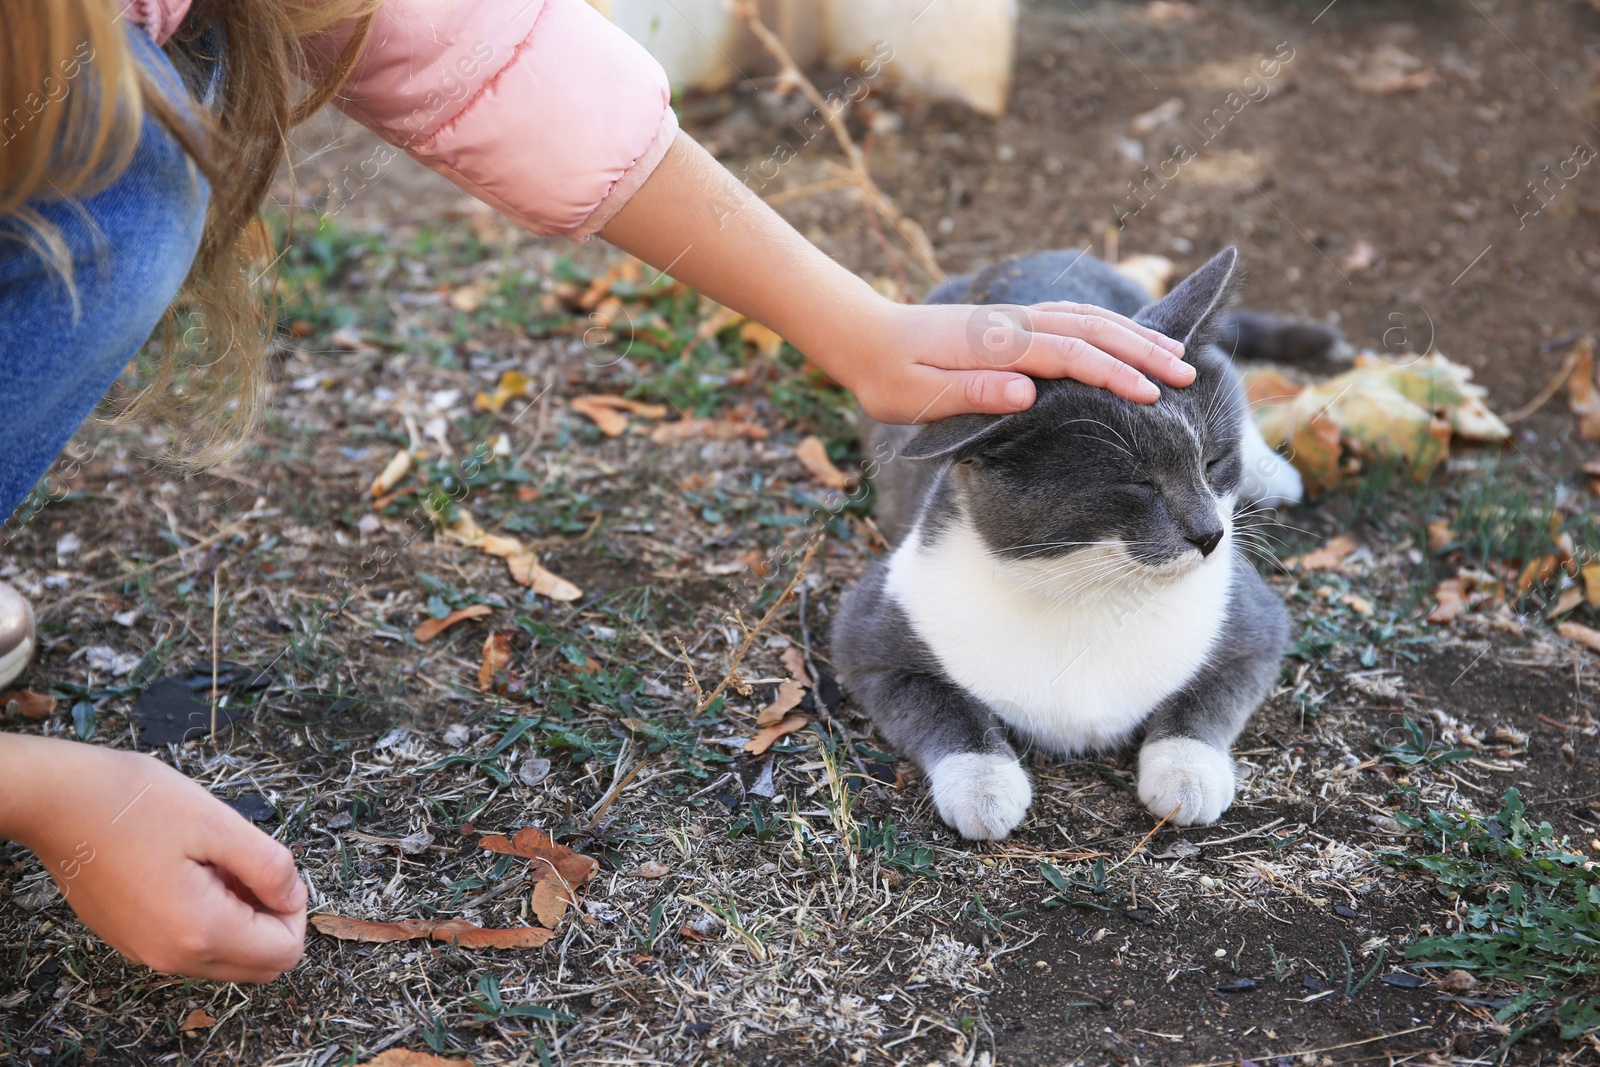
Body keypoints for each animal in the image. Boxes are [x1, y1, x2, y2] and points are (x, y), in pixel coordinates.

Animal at [832, 251, 1305, 844]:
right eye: (1137, 484)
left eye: (1214, 462)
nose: (1211, 535)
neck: (1090, 594)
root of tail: (1035, 255)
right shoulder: (869, 635)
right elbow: (943, 708)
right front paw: (984, 787)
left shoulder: (1254, 626)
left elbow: (1206, 700)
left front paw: (1187, 775)